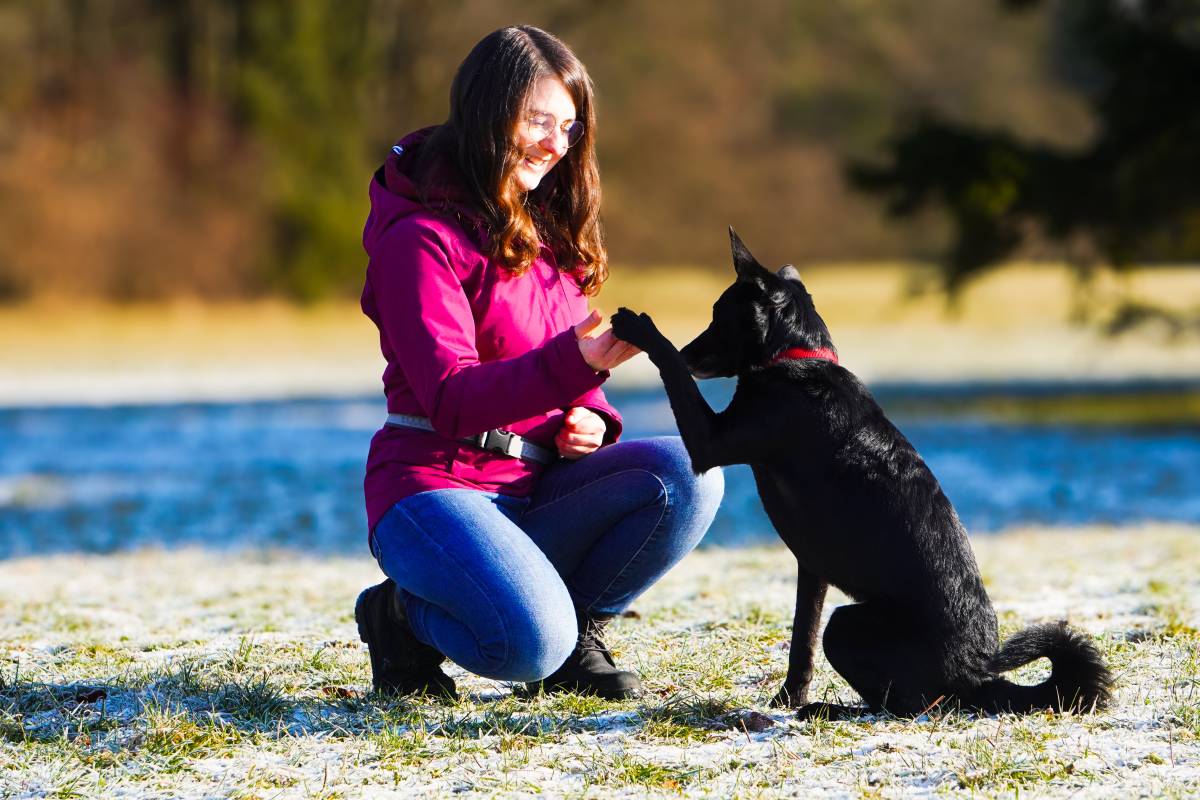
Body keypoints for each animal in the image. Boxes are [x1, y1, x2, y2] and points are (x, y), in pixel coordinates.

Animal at [614, 227, 1108, 714]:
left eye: (719, 314)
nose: (689, 352)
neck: (797, 358)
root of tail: (979, 675)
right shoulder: (811, 568)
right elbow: (802, 641)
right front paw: (787, 699)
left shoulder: (710, 442)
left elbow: (671, 370)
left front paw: (640, 328)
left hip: (849, 625)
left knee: (911, 705)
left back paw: (836, 710)